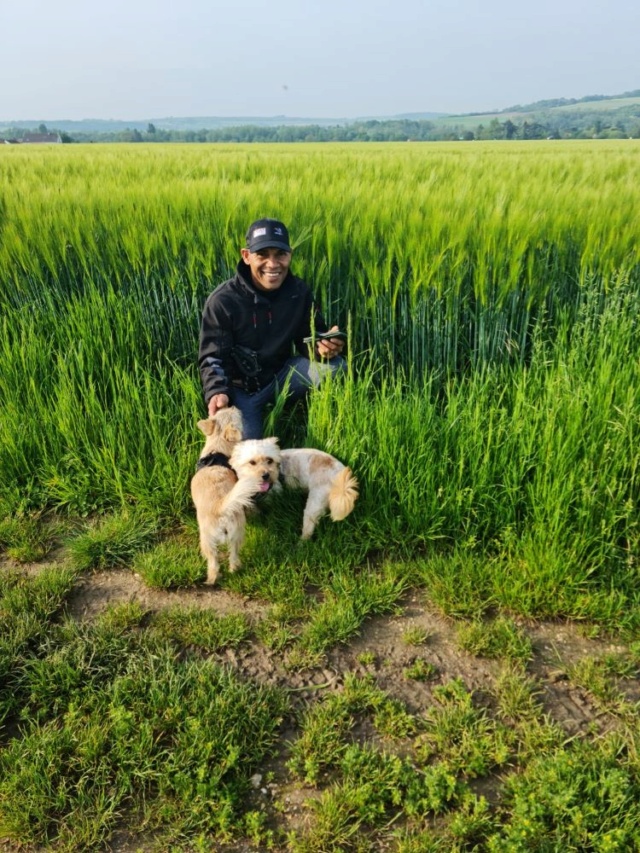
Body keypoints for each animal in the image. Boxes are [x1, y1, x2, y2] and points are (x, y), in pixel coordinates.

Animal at [189, 408, 264, 584]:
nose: (234, 406)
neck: (216, 449)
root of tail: (220, 508)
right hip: (234, 535)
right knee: (231, 557)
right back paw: (229, 572)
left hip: (209, 540)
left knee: (215, 561)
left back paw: (214, 578)